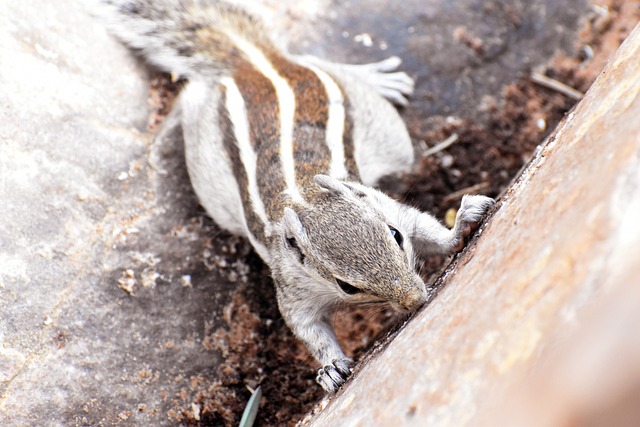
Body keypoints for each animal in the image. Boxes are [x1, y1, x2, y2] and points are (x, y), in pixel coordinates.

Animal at [104, 0, 496, 394]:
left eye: (396, 236)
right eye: (347, 287)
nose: (417, 300)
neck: (305, 197)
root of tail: (254, 63)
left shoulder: (391, 208)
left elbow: (428, 228)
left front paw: (462, 223)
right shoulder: (293, 286)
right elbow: (307, 328)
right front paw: (331, 368)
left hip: (386, 133)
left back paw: (377, 77)